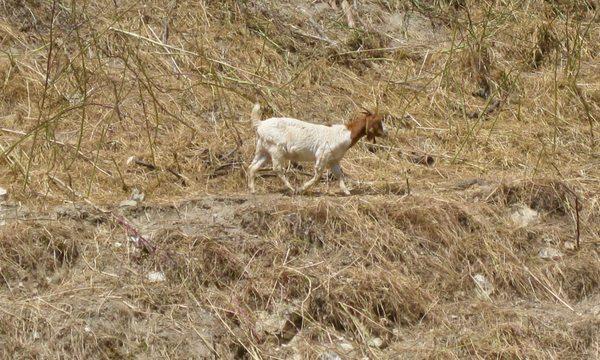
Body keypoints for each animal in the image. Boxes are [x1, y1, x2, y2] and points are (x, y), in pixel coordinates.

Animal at [246, 102, 386, 195]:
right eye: (378, 122)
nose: (387, 132)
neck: (345, 134)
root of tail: (260, 124)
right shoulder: (323, 155)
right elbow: (318, 175)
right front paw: (302, 188)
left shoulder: (333, 160)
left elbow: (339, 174)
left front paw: (346, 191)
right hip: (276, 149)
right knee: (277, 169)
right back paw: (291, 188)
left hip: (263, 150)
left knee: (252, 167)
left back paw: (252, 190)